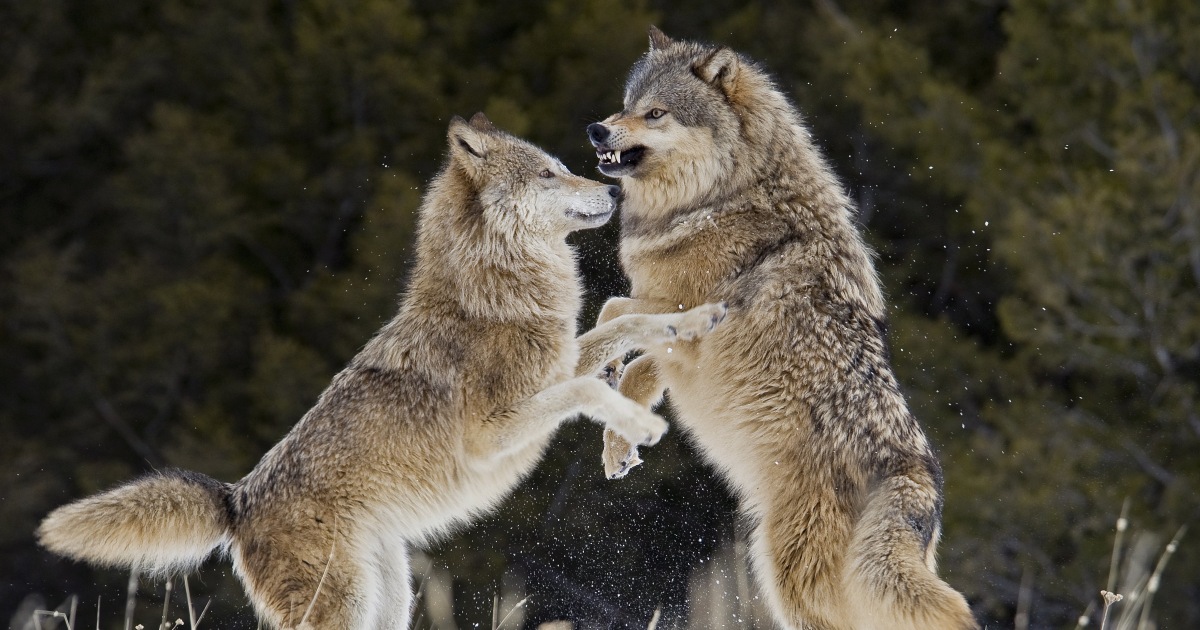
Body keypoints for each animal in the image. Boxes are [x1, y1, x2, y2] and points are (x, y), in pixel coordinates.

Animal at [37, 113, 728, 630]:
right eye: (549, 172)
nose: (614, 190)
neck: (494, 294)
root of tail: (237, 501)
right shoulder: (494, 433)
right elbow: (590, 380)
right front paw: (642, 425)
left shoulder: (559, 364)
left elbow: (624, 327)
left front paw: (697, 319)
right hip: (344, 605)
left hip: (390, 596)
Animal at [584, 28, 978, 630]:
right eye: (626, 104)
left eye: (655, 113)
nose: (597, 129)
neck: (722, 196)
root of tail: (917, 476)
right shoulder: (676, 341)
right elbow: (627, 345)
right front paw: (615, 426)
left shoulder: (684, 322)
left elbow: (616, 318)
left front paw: (608, 401)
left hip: (786, 575)